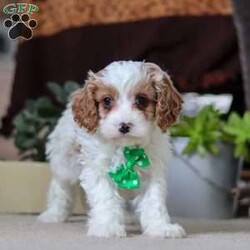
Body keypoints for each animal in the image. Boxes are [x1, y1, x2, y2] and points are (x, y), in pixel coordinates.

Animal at [37, 60, 186, 238]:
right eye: (107, 101)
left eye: (141, 100)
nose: (124, 126)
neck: (126, 148)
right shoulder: (98, 171)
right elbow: (105, 198)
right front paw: (107, 227)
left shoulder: (152, 172)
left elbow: (154, 201)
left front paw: (160, 227)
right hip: (65, 163)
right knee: (60, 188)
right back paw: (54, 214)